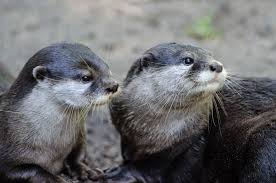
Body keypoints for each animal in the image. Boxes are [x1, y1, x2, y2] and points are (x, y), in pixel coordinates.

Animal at [0, 42, 118, 182]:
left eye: (107, 68)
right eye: (86, 77)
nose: (114, 86)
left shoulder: (79, 134)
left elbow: (78, 154)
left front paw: (85, 169)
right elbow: (29, 168)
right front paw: (53, 178)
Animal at [93, 42, 276, 182]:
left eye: (211, 55)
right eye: (188, 60)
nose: (217, 65)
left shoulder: (187, 145)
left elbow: (152, 167)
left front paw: (119, 172)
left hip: (266, 141)